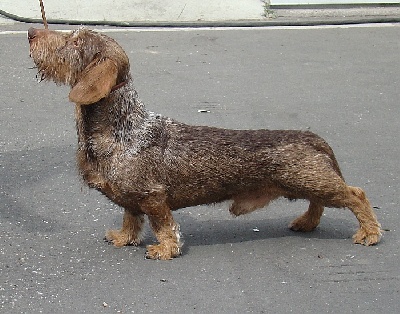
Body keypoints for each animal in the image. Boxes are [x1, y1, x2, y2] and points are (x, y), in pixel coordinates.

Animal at [28, 27, 382, 258]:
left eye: (75, 41)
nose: (31, 32)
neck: (124, 129)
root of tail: (310, 136)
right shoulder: (132, 198)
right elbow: (130, 218)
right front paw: (123, 238)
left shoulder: (153, 197)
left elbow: (163, 225)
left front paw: (165, 249)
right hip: (306, 183)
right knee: (318, 203)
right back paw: (306, 223)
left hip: (312, 180)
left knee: (356, 195)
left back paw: (369, 232)